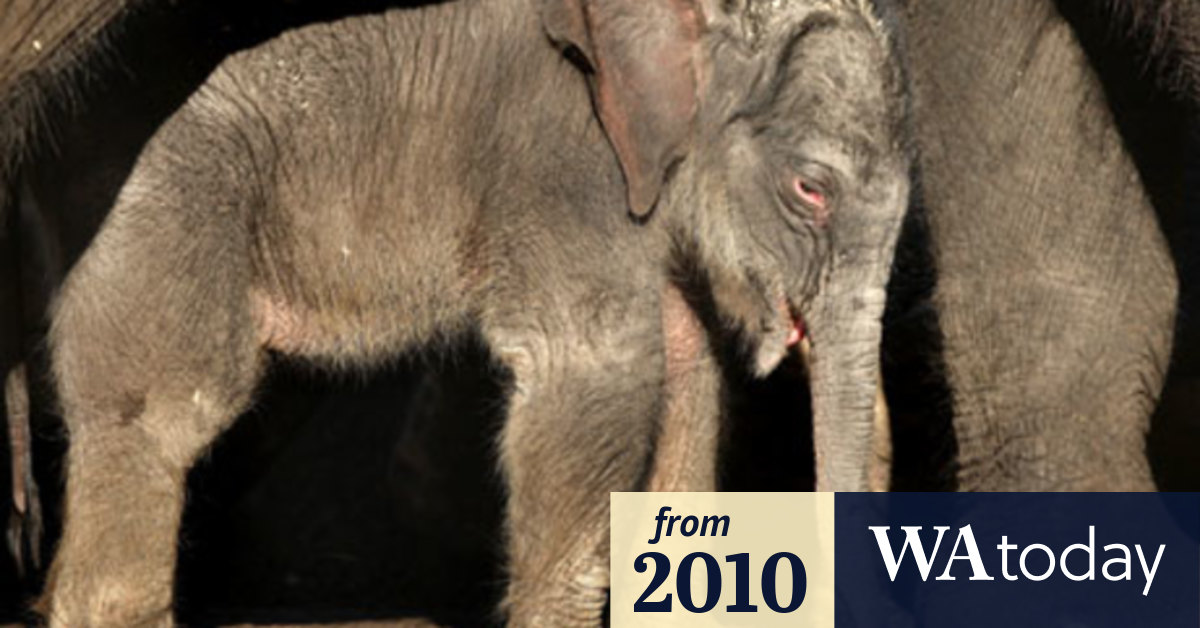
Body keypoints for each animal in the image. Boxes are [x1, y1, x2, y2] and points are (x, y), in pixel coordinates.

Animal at [12, 0, 909, 625]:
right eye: (811, 189)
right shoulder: (561, 155)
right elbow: (592, 370)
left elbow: (686, 377)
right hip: (162, 185)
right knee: (164, 408)